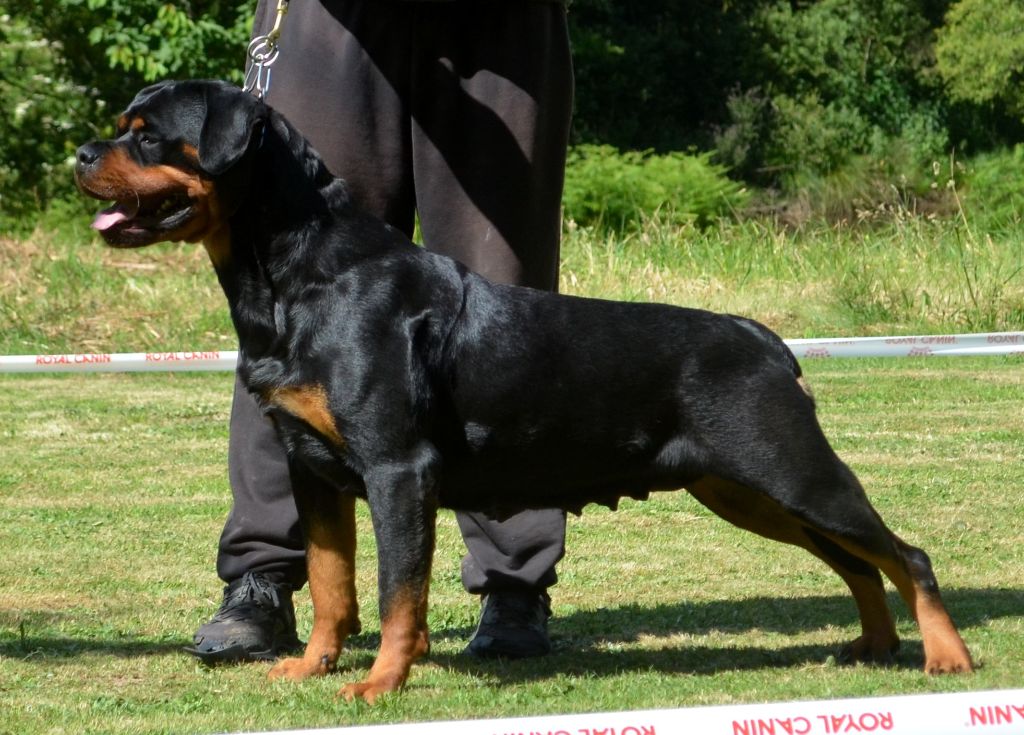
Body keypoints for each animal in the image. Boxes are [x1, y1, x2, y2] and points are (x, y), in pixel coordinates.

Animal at [75, 79, 970, 704]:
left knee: (905, 553)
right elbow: (332, 583)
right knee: (856, 560)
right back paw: (874, 645)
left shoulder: (398, 469)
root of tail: (762, 337)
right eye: (122, 130)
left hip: (790, 470)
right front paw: (312, 665)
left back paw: (945, 655)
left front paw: (380, 681)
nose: (82, 154)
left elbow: (399, 591)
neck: (301, 273)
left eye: (148, 136)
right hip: (748, 490)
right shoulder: (312, 469)